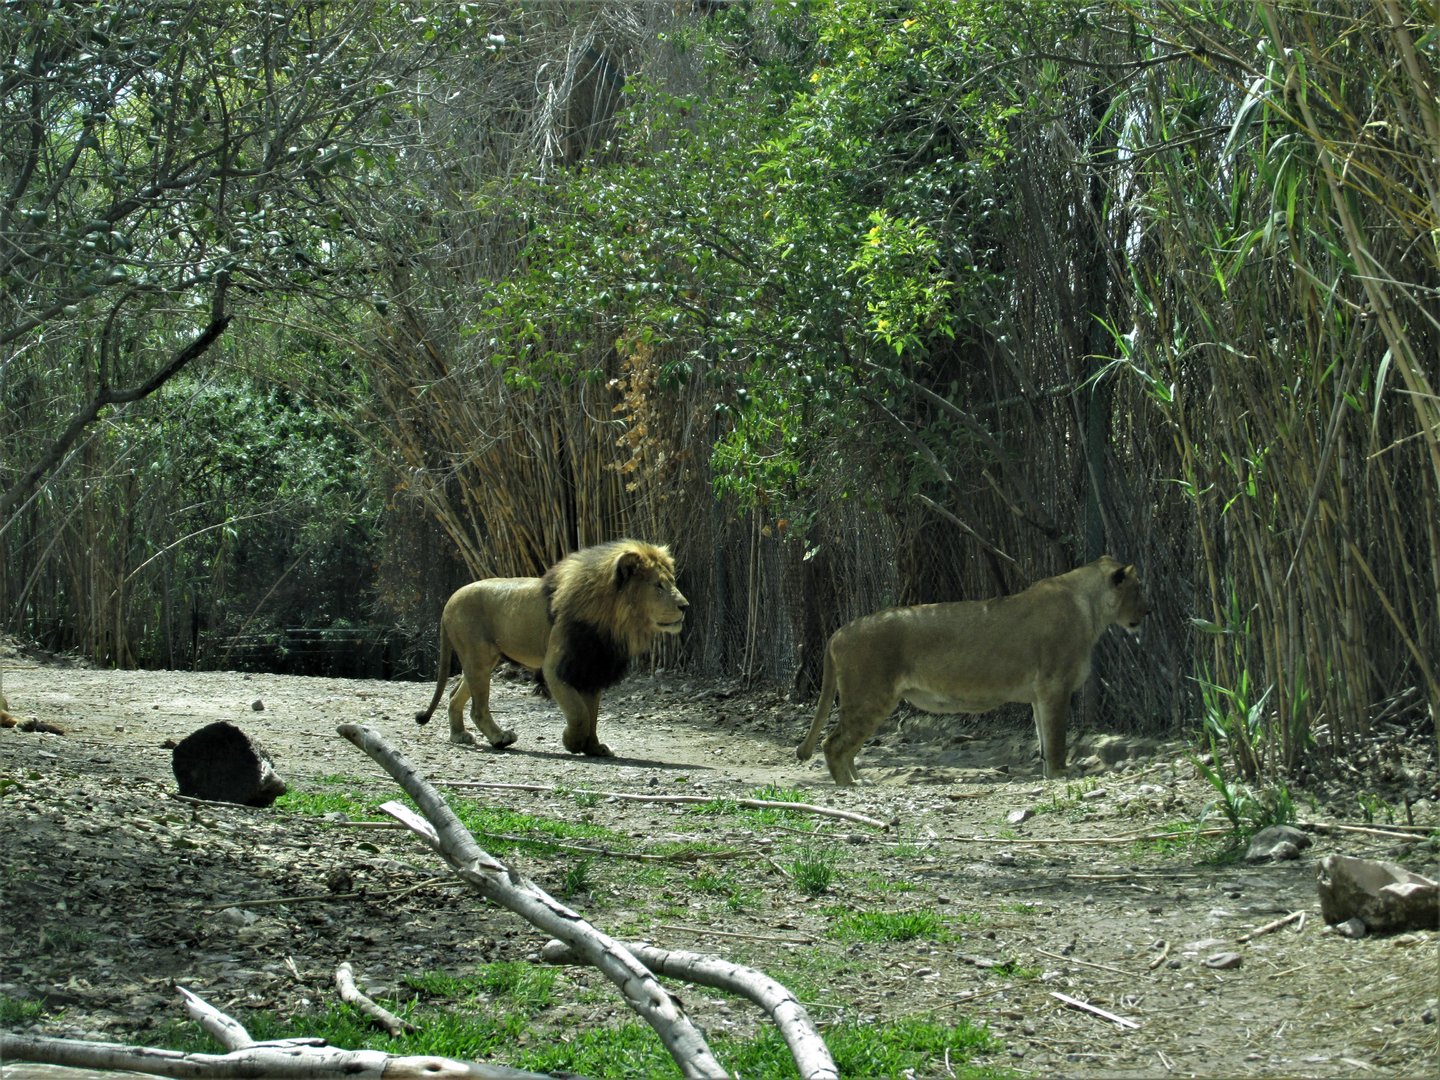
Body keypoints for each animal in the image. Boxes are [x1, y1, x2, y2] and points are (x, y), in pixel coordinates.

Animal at [415, 539, 687, 756]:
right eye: (658, 586)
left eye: (672, 582)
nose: (685, 605)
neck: (613, 620)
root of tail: (450, 600)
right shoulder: (556, 669)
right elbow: (579, 714)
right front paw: (572, 742)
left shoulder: (591, 667)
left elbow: (592, 715)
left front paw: (594, 747)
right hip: (477, 659)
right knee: (478, 709)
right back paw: (500, 738)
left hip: (484, 661)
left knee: (454, 696)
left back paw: (458, 735)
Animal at [797, 556, 1147, 785]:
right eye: (1138, 589)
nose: (1145, 613)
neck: (1090, 609)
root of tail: (840, 631)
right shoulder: (1055, 685)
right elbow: (1057, 736)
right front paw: (1062, 773)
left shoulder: (1040, 694)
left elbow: (1044, 737)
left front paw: (1050, 773)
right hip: (869, 697)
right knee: (833, 744)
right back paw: (849, 786)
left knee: (845, 746)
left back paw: (860, 780)